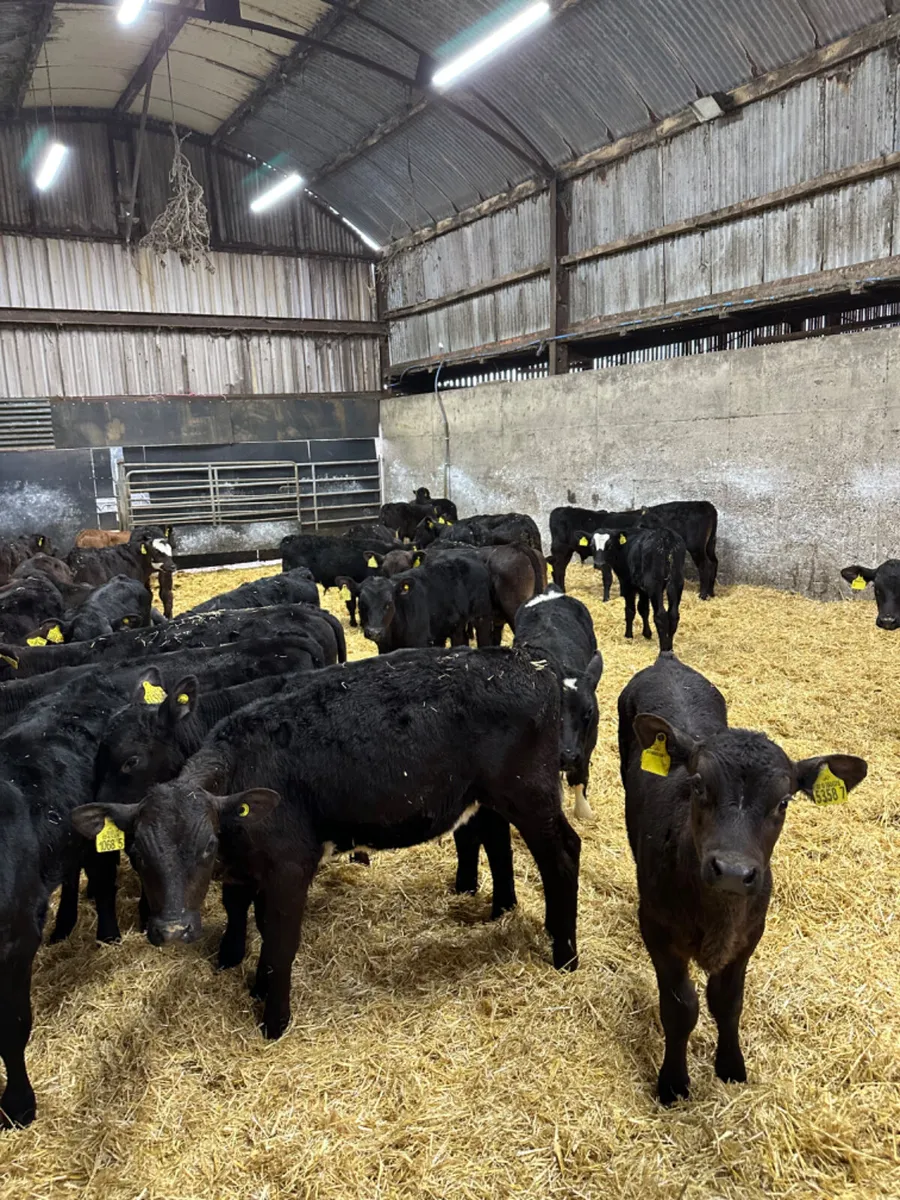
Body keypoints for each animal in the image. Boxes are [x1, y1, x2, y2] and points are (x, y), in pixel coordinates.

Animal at [72, 646, 581, 1042]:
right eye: (137, 855)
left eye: (205, 848)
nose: (174, 930)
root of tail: (530, 662)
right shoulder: (252, 866)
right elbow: (252, 917)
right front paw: (251, 978)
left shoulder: (290, 865)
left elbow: (280, 939)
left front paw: (273, 1020)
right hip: (490, 796)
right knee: (501, 841)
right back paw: (509, 912)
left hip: (530, 793)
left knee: (563, 853)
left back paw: (565, 951)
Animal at [357, 555, 493, 652]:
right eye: (362, 604)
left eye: (388, 603)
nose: (374, 632)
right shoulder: (383, 647)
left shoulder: (420, 642)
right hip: (455, 626)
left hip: (482, 617)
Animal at [618, 653, 867, 1104]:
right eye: (699, 784)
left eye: (783, 802)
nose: (733, 871)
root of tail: (667, 660)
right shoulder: (657, 930)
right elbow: (681, 1007)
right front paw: (674, 1082)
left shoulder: (750, 933)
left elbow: (728, 1002)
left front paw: (731, 1066)